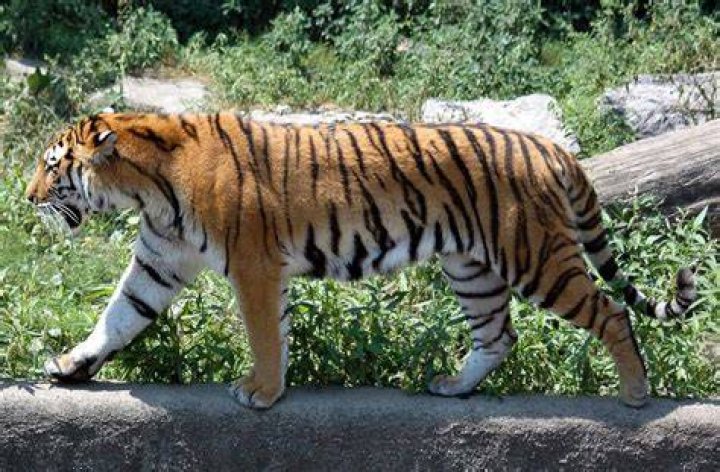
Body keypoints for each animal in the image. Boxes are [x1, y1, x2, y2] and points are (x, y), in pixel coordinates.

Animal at [25, 112, 696, 409]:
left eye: (53, 166)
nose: (27, 198)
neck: (146, 188)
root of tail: (552, 146)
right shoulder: (160, 260)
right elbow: (118, 317)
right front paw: (69, 366)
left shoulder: (253, 264)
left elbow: (264, 334)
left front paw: (261, 392)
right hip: (471, 268)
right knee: (499, 335)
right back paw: (454, 387)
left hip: (535, 257)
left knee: (610, 312)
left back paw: (636, 394)